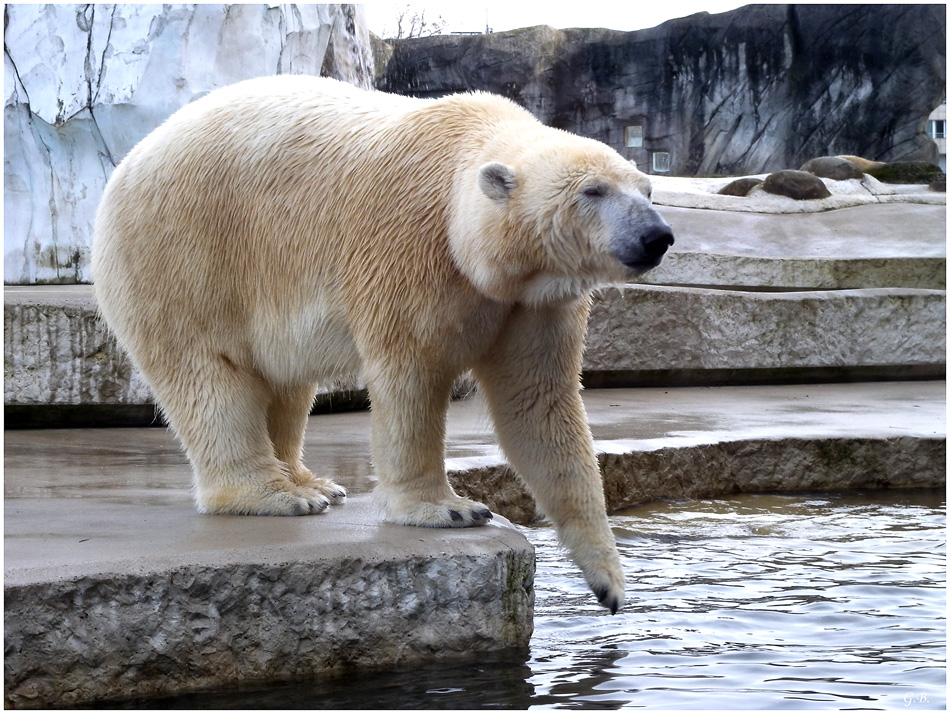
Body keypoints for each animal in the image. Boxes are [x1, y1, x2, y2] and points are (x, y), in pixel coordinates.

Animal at [91, 76, 676, 612]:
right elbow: (411, 375)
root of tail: (133, 156)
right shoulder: (410, 247)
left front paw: (608, 580)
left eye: (646, 189)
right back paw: (275, 495)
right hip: (185, 252)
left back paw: (312, 483)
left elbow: (538, 402)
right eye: (592, 191)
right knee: (209, 373)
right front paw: (452, 510)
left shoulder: (533, 304)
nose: (657, 236)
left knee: (284, 382)